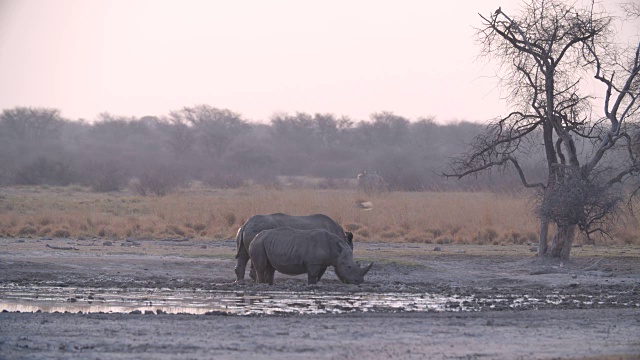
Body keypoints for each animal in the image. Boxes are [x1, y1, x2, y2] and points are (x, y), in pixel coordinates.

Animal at [235, 214, 376, 284]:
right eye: (349, 265)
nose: (358, 281)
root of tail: (245, 224)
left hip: (249, 230)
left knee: (243, 255)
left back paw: (241, 281)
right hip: (257, 230)